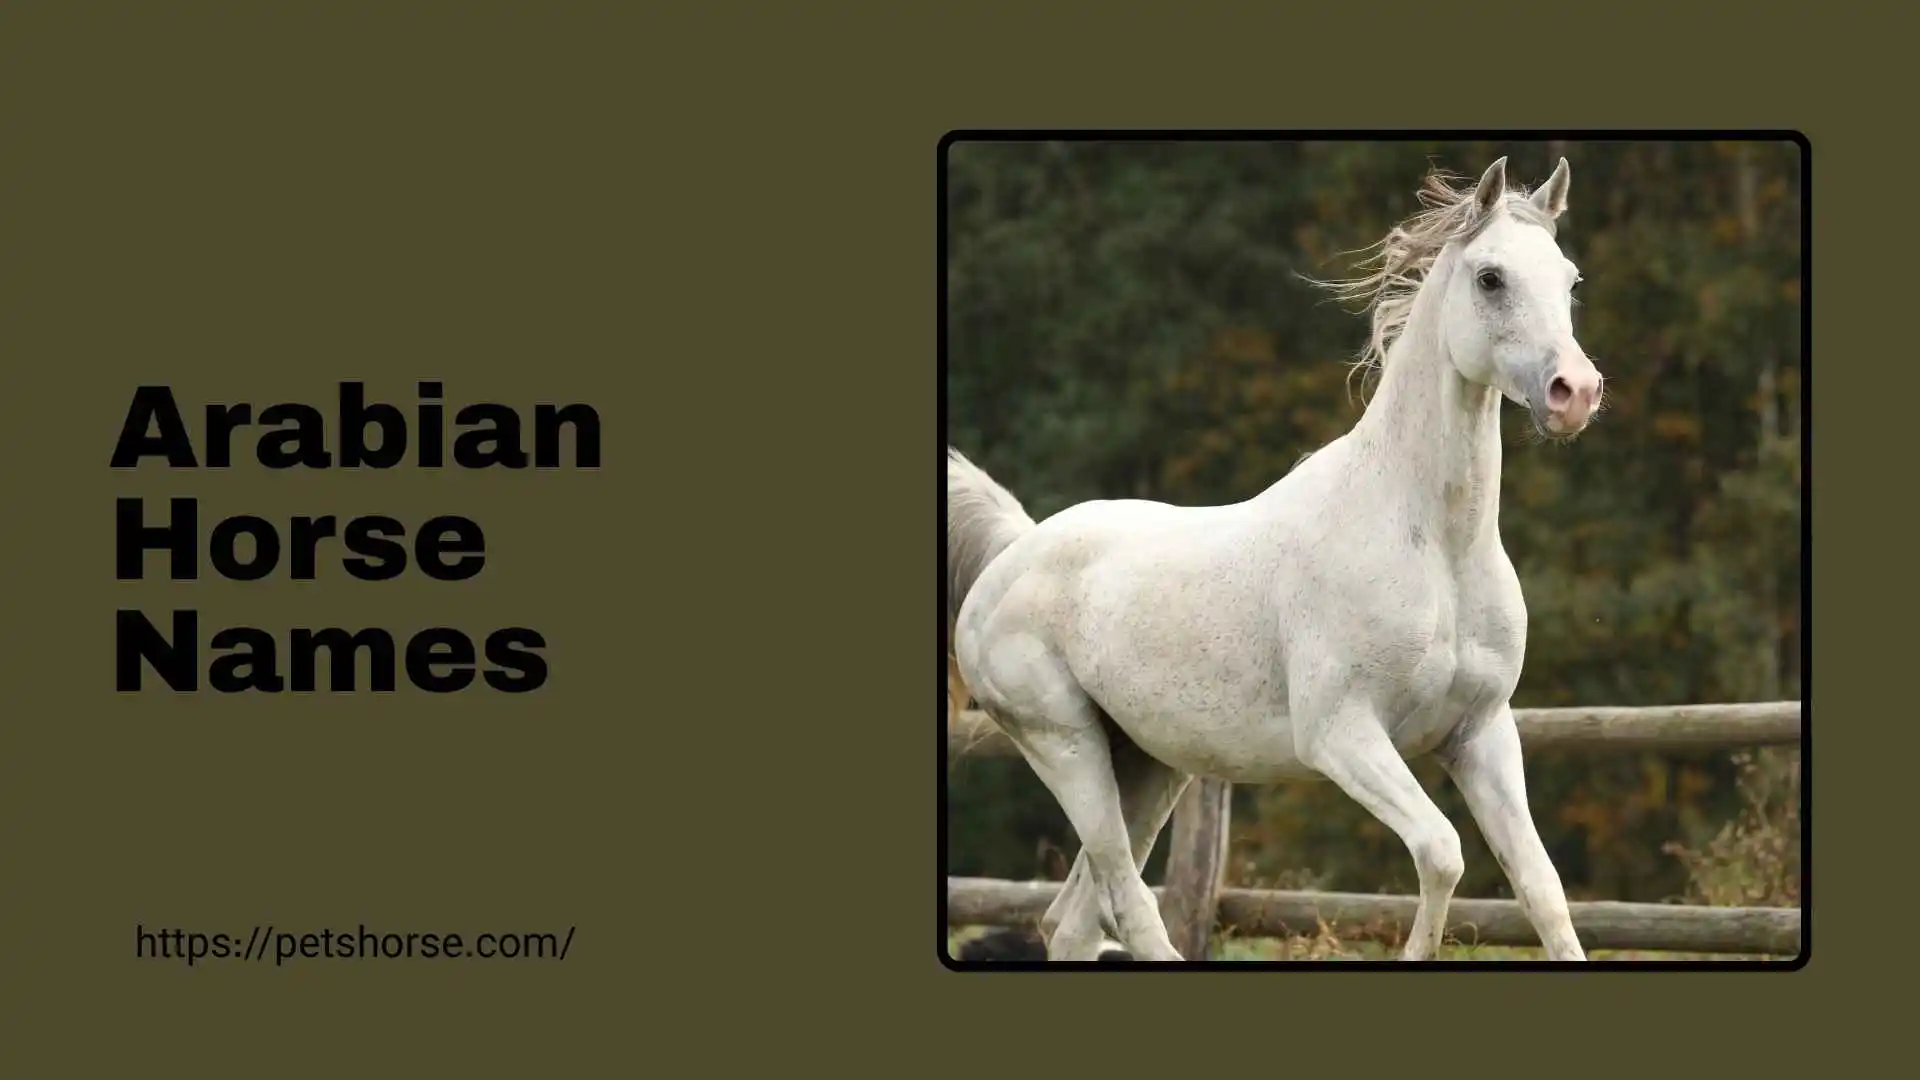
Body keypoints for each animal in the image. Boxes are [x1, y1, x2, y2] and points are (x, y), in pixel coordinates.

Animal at [945, 156, 1602, 962]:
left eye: (1569, 278)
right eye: (1490, 277)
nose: (1575, 393)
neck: (1432, 547)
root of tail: (1012, 552)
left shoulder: (1480, 735)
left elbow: (1543, 892)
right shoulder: (1342, 737)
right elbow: (1442, 854)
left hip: (1148, 764)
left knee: (1071, 920)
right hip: (1066, 749)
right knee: (1129, 905)